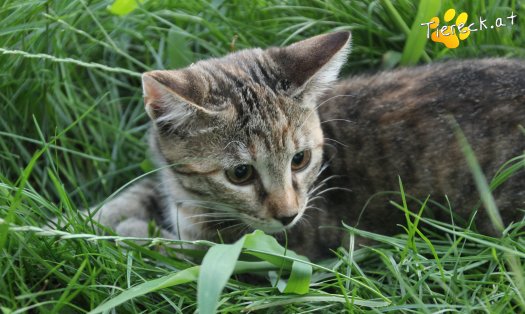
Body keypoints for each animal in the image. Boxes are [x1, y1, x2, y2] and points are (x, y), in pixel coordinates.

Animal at [90, 31, 524, 260]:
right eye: (240, 173)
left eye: (300, 159)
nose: (288, 214)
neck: (191, 200)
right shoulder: (165, 178)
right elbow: (134, 193)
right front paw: (81, 219)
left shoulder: (276, 247)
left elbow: (174, 251)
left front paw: (126, 234)